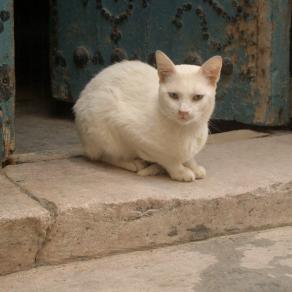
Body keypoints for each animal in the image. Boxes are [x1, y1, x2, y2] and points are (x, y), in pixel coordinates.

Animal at [73, 51, 221, 181]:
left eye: (197, 97)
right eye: (173, 95)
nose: (183, 111)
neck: (187, 131)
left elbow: (188, 157)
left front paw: (193, 166)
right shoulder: (127, 129)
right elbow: (167, 158)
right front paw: (180, 171)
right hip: (101, 117)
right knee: (105, 155)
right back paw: (132, 163)